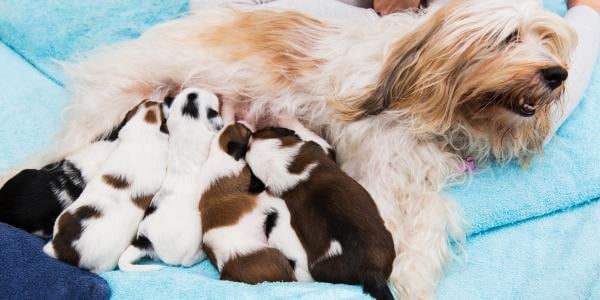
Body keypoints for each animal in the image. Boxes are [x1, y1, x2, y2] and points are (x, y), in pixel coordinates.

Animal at [43, 100, 169, 272]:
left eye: (145, 102)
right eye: (158, 106)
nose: (157, 100)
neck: (143, 136)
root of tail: (62, 249)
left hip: (61, 219)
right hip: (105, 263)